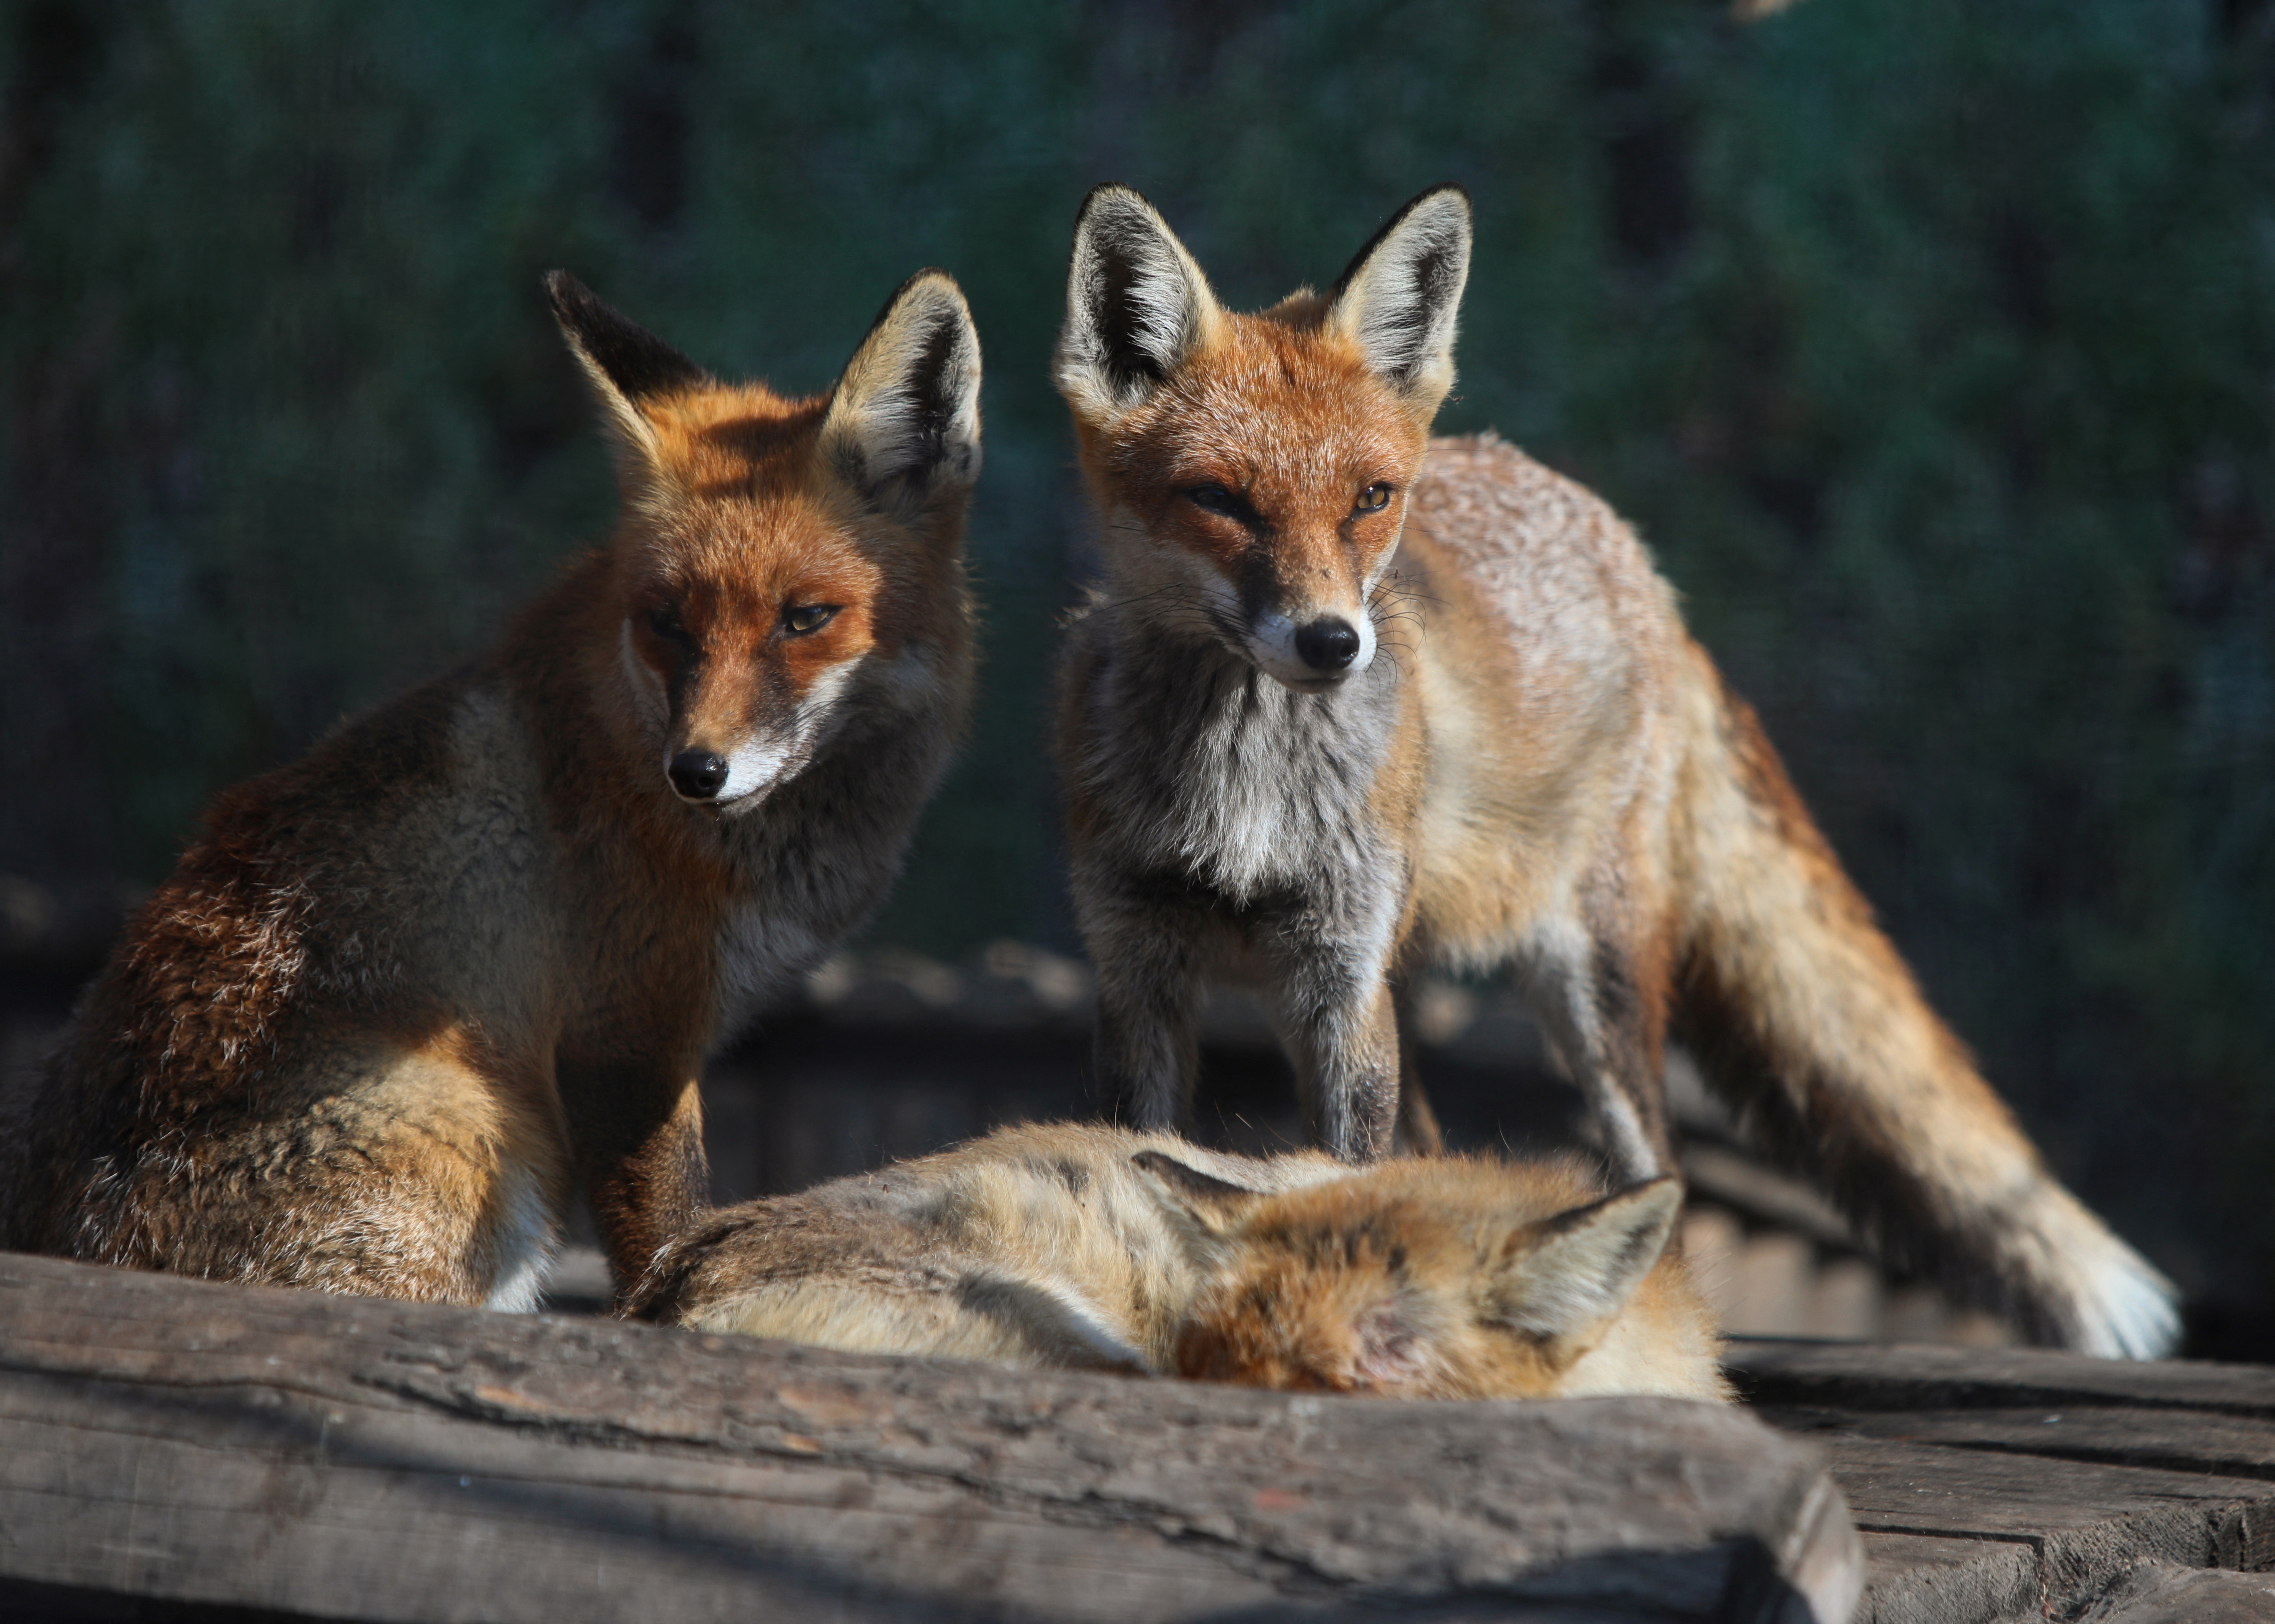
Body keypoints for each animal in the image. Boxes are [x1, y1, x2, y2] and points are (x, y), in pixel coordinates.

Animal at [0, 266, 983, 1301]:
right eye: (666, 621)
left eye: (806, 619)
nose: (695, 772)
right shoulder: (621, 1040)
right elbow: (665, 1253)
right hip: (483, 1135)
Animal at [1051, 183, 2184, 1355]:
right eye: (1220, 499)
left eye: (1370, 497)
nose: (1332, 643)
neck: (1241, 803)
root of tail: (1637, 558)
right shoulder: (1138, 971)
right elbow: (1131, 1162)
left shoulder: (1340, 978)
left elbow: (1346, 1178)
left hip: (1594, 982)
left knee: (1659, 1179)